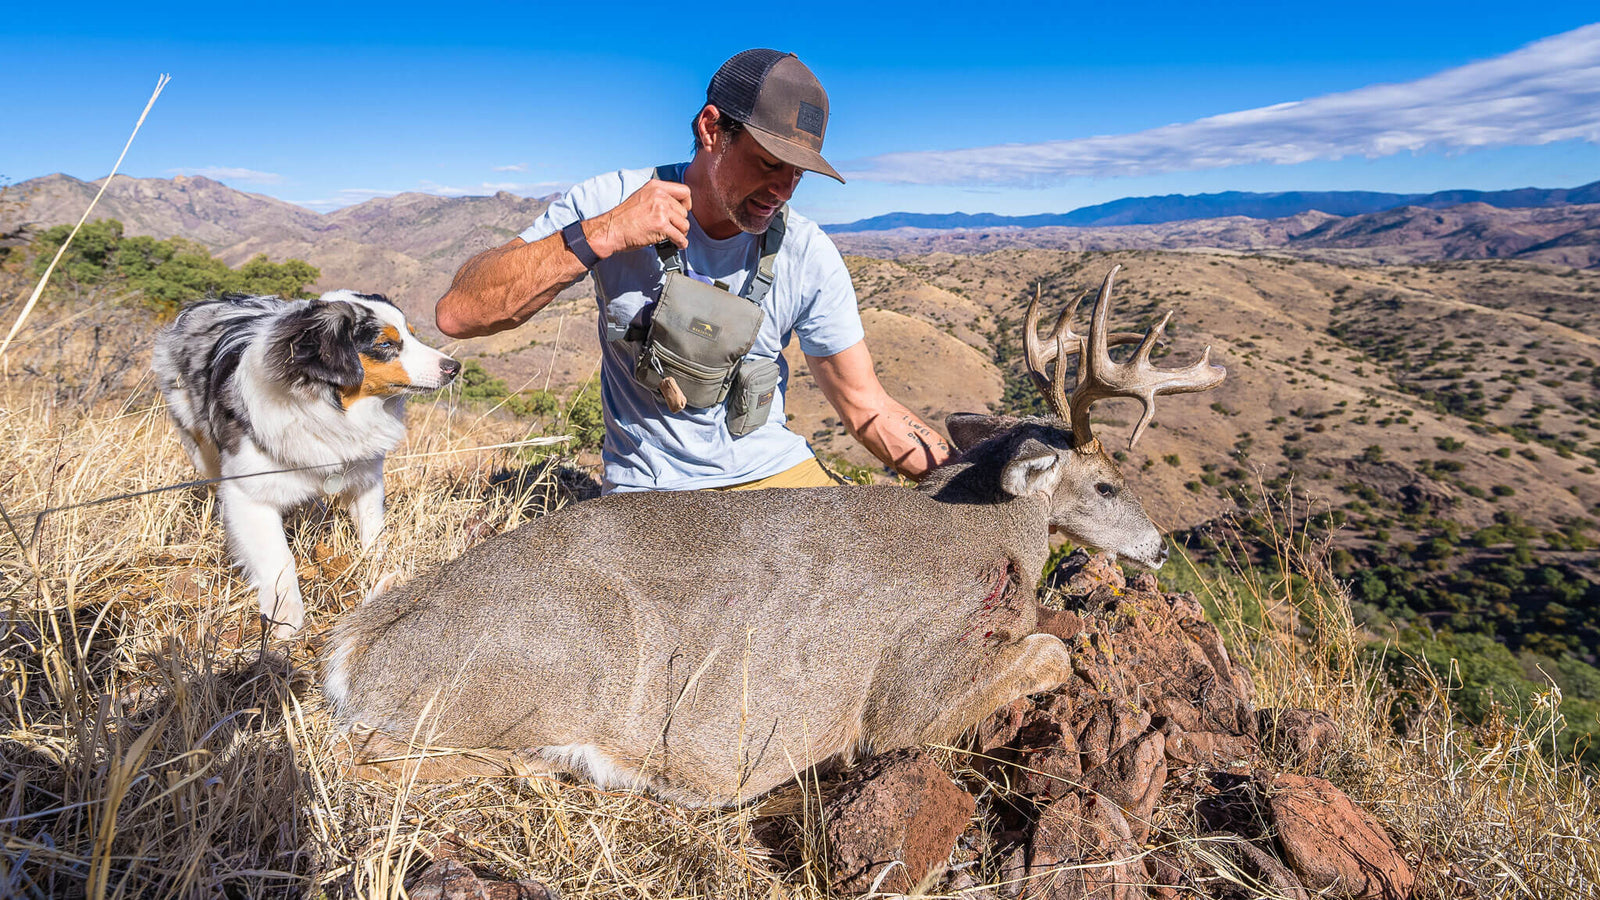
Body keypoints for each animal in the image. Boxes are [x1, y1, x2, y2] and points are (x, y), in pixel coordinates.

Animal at [321, 264, 1225, 807]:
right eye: (1106, 483)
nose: (1159, 548)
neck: (987, 532)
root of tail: (355, 649)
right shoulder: (909, 691)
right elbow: (1050, 652)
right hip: (541, 669)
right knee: (375, 753)